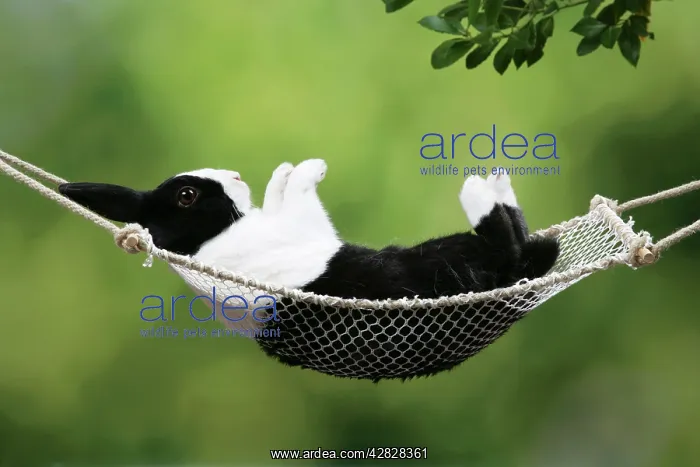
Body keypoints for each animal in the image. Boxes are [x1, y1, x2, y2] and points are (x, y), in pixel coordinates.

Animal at [58, 159, 560, 334]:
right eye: (187, 195)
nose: (237, 176)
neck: (202, 244)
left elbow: (281, 189)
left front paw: (282, 171)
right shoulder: (304, 234)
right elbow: (300, 195)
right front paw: (311, 168)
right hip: (446, 263)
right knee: (510, 244)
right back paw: (481, 188)